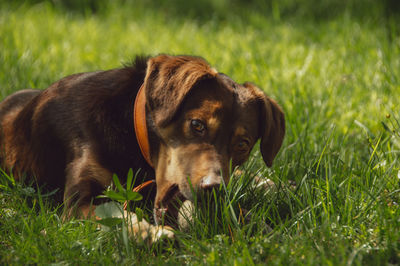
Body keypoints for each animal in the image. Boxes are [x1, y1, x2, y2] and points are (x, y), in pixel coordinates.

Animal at [0, 54, 284, 241]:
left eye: (242, 145)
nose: (213, 188)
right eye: (197, 125)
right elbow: (115, 216)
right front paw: (149, 233)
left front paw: (257, 224)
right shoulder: (77, 203)